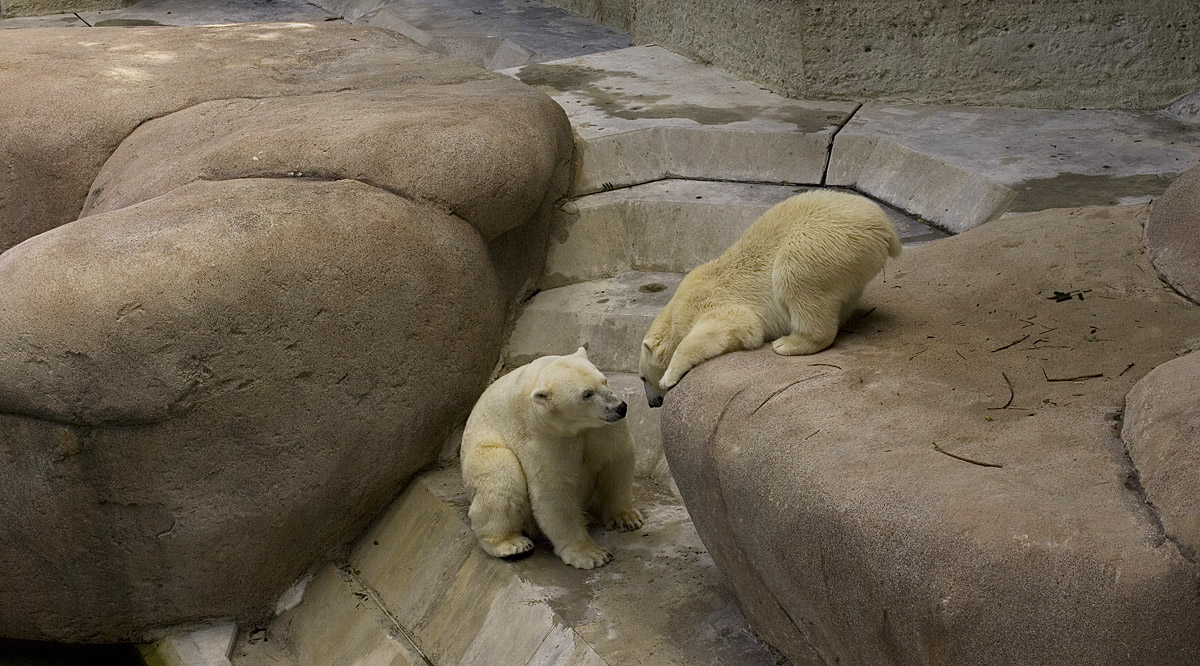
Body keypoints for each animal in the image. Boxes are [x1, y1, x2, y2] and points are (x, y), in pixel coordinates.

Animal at [460, 345, 648, 571]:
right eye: (587, 394)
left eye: (604, 381)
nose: (620, 407)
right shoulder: (544, 436)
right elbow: (554, 487)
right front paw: (590, 554)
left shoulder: (601, 428)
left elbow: (617, 457)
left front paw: (626, 518)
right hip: (483, 451)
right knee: (501, 475)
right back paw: (511, 544)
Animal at [638, 187, 902, 405]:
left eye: (642, 377)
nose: (652, 403)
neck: (674, 313)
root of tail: (885, 227)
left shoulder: (704, 300)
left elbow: (734, 323)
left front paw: (669, 377)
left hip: (823, 242)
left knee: (794, 274)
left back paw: (788, 343)